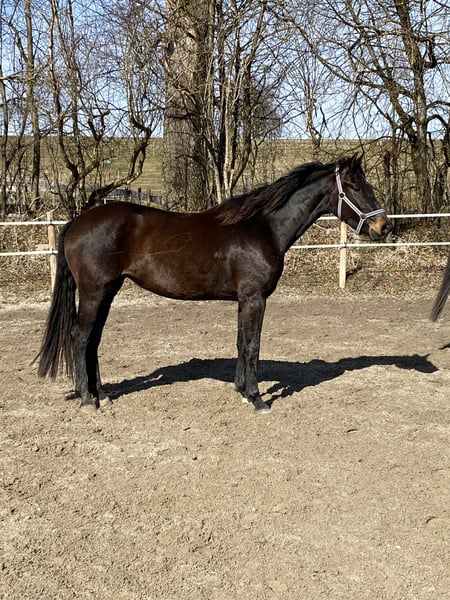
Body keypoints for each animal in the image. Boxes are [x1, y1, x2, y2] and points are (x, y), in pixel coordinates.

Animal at [36, 155, 392, 413]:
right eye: (354, 185)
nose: (384, 227)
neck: (263, 228)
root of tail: (76, 222)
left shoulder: (244, 300)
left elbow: (240, 343)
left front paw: (242, 391)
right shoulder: (255, 298)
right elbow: (252, 345)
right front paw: (258, 399)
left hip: (107, 291)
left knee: (93, 340)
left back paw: (102, 394)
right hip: (94, 292)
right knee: (80, 338)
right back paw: (88, 401)